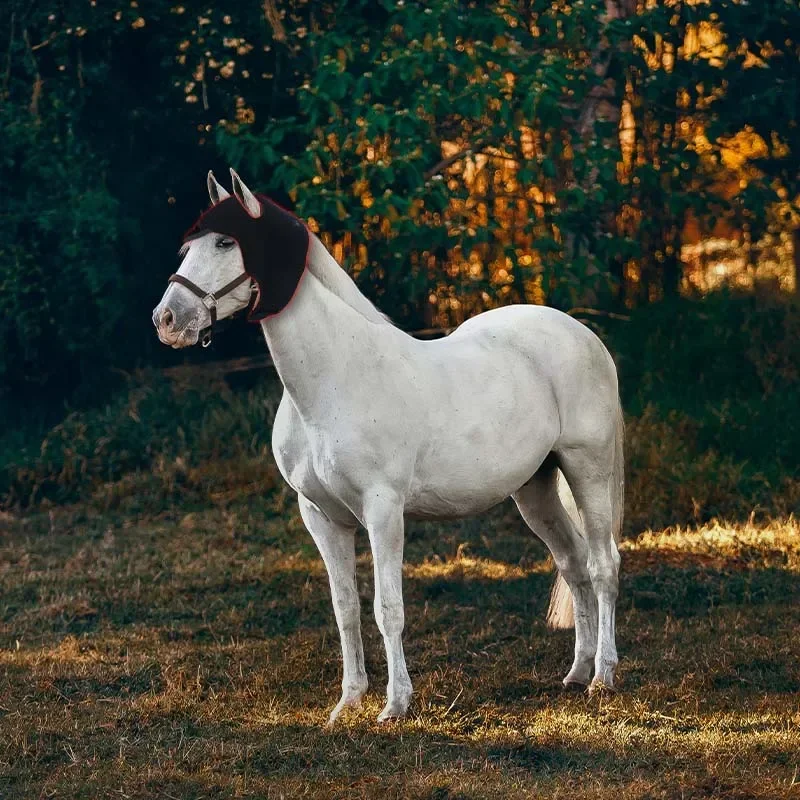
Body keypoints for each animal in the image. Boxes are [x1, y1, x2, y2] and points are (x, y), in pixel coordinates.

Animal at [152, 169, 624, 724]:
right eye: (191, 245)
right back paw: (576, 673)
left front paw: (395, 704)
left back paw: (603, 677)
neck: (334, 378)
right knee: (573, 564)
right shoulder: (321, 516)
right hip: (535, 489)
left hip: (587, 469)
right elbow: (345, 609)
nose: (166, 319)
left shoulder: (383, 510)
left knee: (603, 565)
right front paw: (348, 702)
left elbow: (387, 608)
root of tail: (583, 335)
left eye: (227, 242)